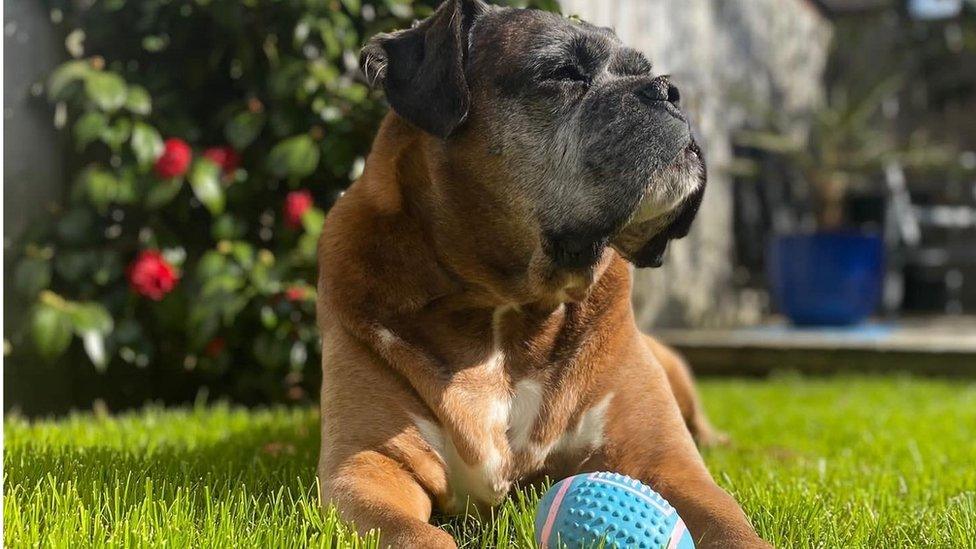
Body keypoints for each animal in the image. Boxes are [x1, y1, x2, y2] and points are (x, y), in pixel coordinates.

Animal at [318, 2, 772, 544]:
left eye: (645, 71)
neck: (505, 308)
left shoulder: (665, 462)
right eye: (562, 73)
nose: (668, 90)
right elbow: (417, 533)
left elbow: (730, 523)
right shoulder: (367, 467)